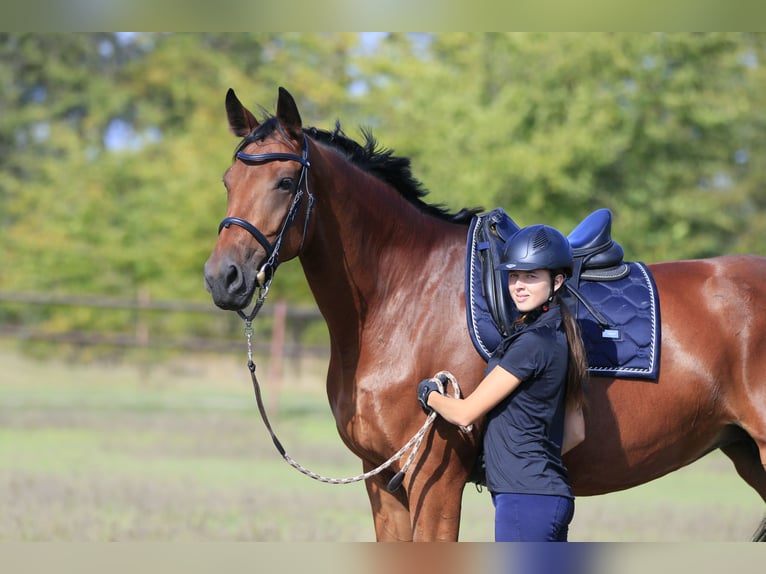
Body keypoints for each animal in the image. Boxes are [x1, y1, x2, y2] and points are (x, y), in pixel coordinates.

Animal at [204, 86, 766, 544]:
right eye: (228, 179)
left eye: (284, 182)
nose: (222, 277)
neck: (402, 300)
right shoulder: (382, 482)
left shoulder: (435, 480)